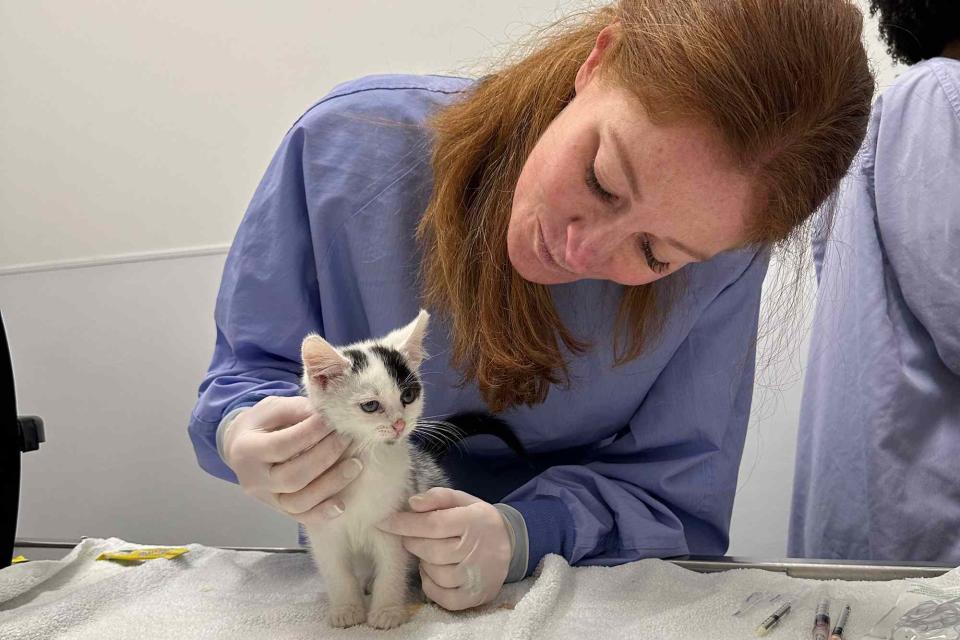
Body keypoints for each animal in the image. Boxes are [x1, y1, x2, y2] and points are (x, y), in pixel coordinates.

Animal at [300, 310, 450, 632]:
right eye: (370, 405)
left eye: (408, 396)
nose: (399, 424)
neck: (367, 461)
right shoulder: (323, 528)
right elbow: (336, 572)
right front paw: (346, 609)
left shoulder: (394, 518)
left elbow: (392, 568)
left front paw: (387, 611)